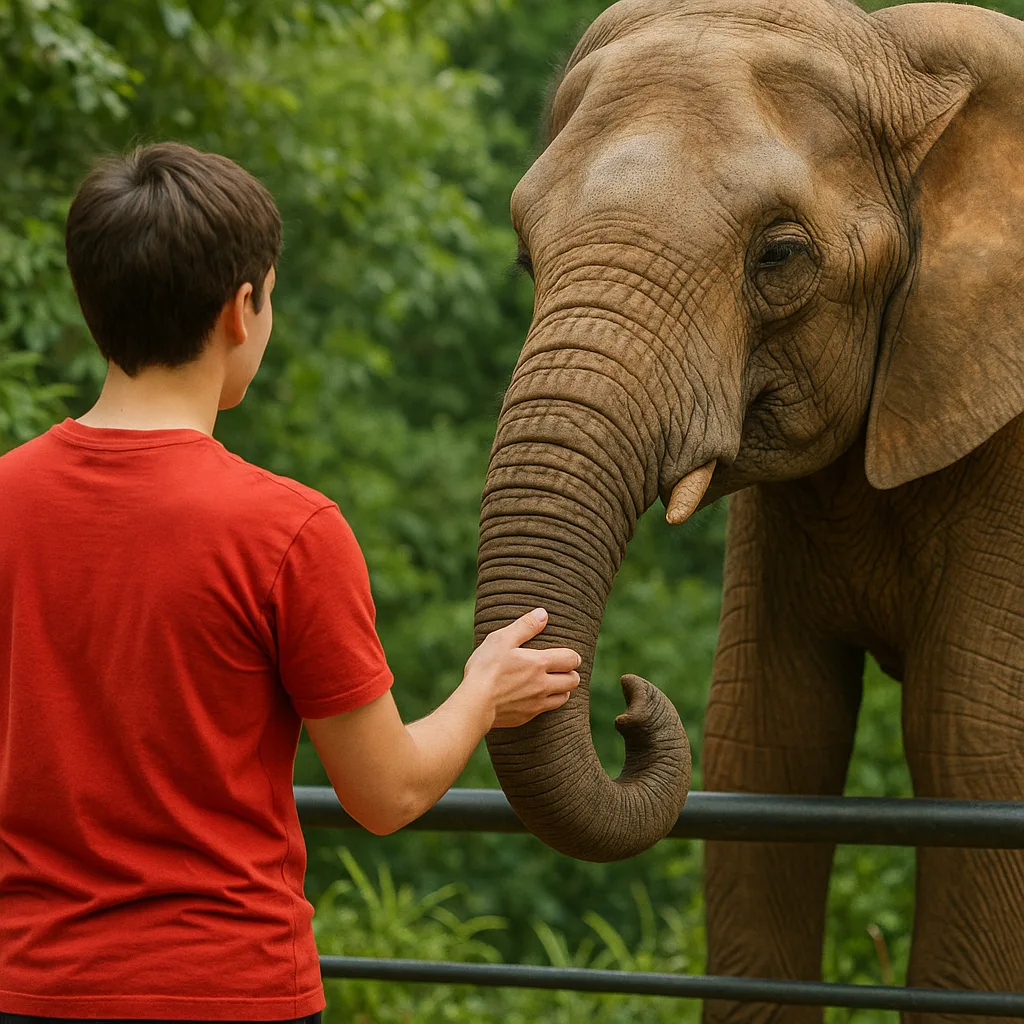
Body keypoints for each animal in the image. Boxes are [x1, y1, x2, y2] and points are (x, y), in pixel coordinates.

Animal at [472, 0, 1024, 1016]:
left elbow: (972, 749)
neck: (901, 55)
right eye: (528, 257)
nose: (629, 702)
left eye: (781, 255)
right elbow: (766, 739)